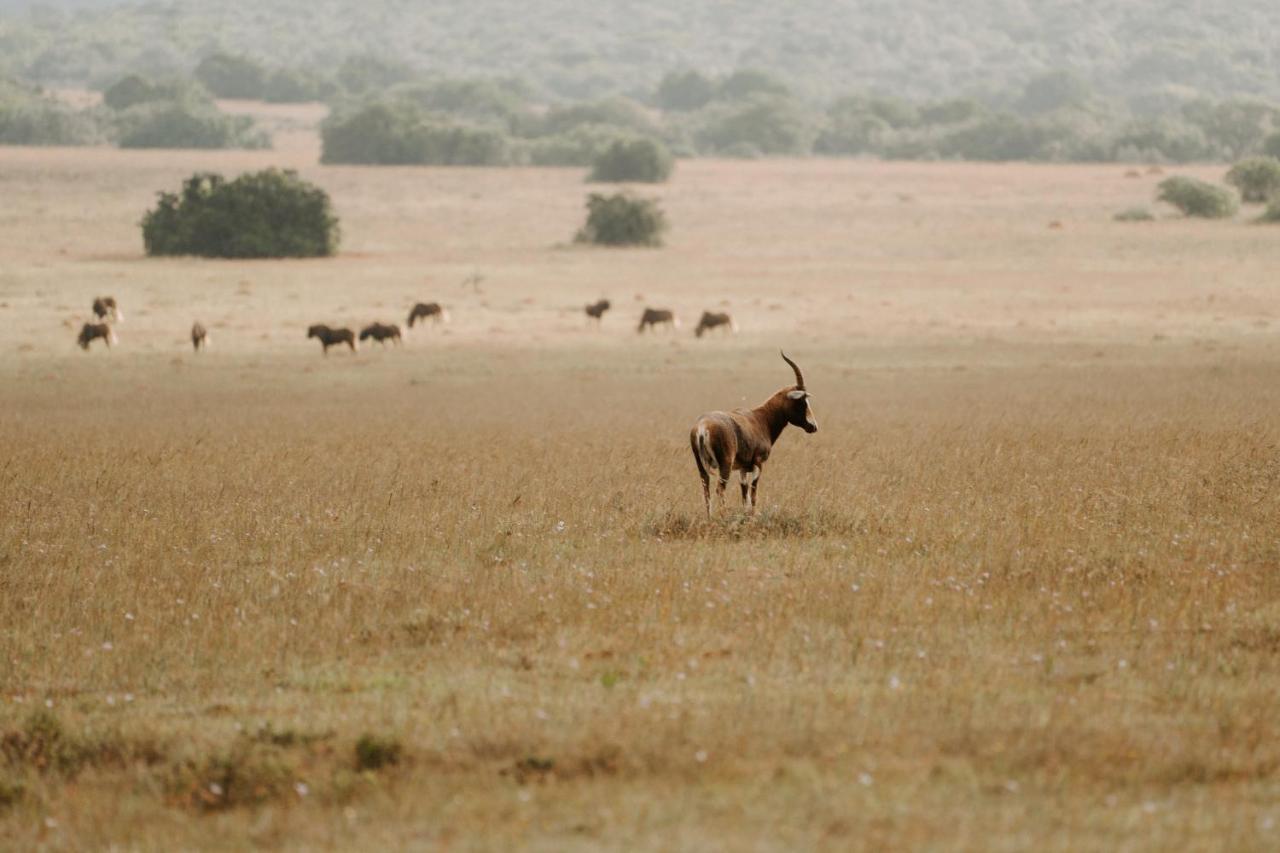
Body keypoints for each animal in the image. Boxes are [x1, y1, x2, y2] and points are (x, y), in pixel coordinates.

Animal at [691, 348, 819, 514]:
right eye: (802, 401)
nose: (813, 426)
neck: (760, 418)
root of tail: (702, 427)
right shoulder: (758, 463)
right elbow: (753, 493)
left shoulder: (743, 468)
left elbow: (744, 493)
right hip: (725, 465)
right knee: (720, 489)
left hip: (702, 467)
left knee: (706, 490)